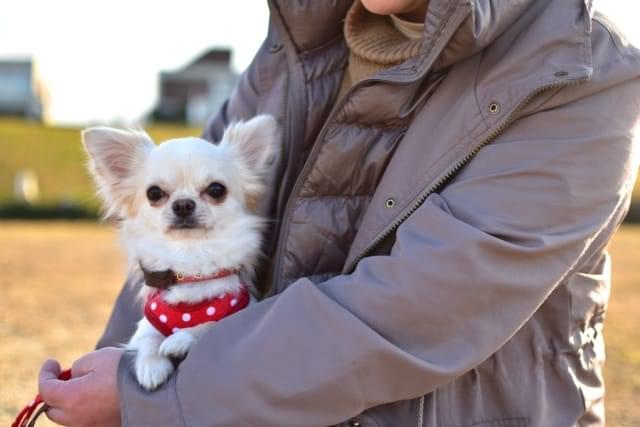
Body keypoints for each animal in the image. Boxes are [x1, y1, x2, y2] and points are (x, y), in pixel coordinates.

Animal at [82, 114, 278, 392]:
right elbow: (148, 338)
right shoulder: (146, 326)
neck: (190, 259)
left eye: (216, 189)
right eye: (154, 193)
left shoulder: (241, 312)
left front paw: (181, 339)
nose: (183, 204)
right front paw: (151, 365)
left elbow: (210, 324)